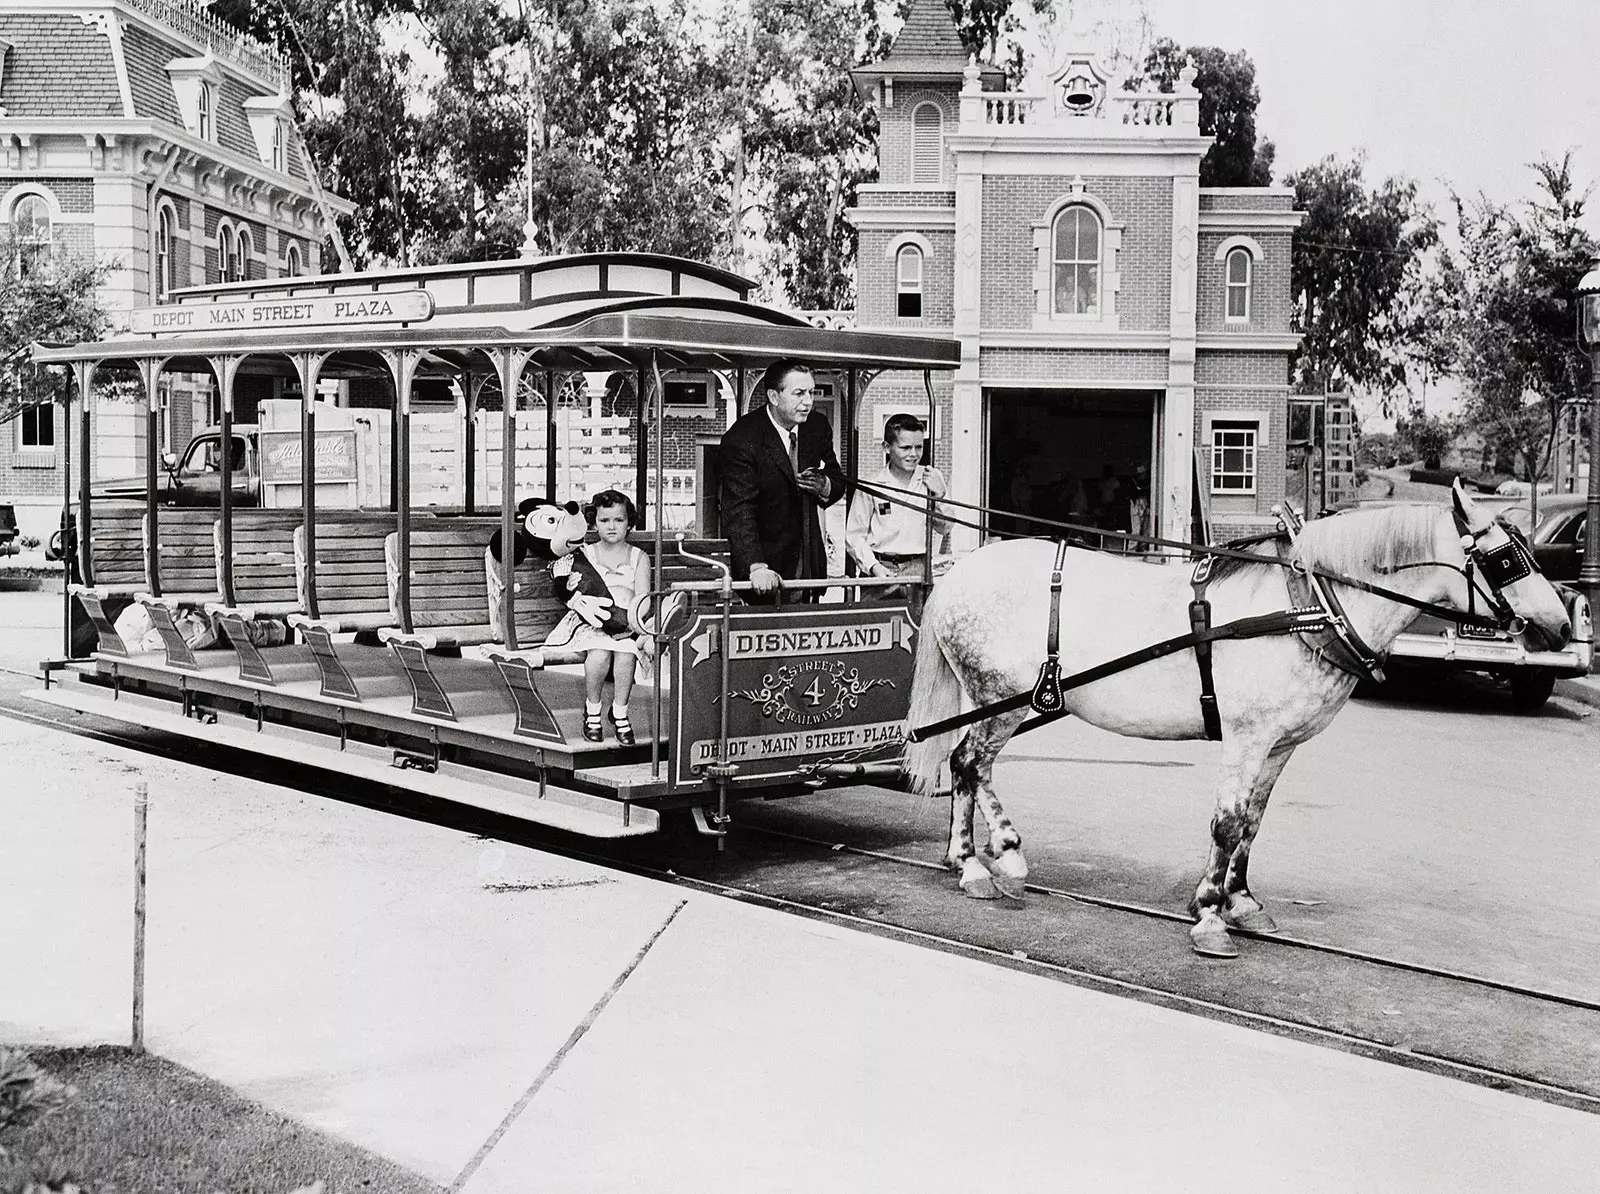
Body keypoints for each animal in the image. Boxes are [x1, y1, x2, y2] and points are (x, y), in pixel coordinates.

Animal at [908, 480, 1568, 953]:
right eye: (1505, 560)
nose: (1560, 627)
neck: (1307, 605)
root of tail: (962, 571)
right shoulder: (1248, 737)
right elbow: (1227, 824)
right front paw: (1208, 915)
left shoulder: (1280, 744)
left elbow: (1253, 822)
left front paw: (1242, 902)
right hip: (1006, 695)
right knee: (970, 762)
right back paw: (994, 859)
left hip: (993, 698)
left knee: (965, 766)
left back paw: (966, 857)